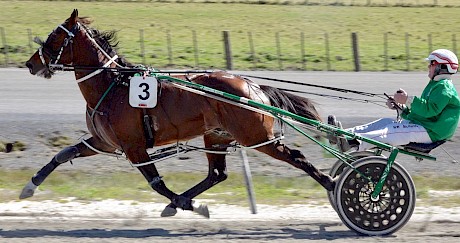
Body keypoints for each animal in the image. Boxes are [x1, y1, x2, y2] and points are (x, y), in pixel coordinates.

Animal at [22, 9, 334, 218]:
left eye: (54, 37)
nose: (30, 64)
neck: (112, 87)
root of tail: (252, 85)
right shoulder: (105, 142)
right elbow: (63, 155)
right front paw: (30, 186)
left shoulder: (134, 147)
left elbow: (156, 183)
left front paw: (189, 205)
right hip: (217, 136)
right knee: (217, 174)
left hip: (256, 137)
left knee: (297, 157)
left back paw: (331, 183)